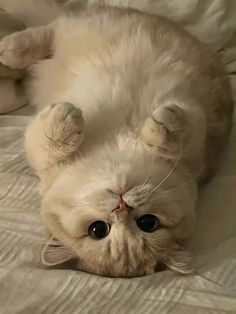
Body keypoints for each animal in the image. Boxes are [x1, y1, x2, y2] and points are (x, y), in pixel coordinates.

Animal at [0, 3, 232, 276]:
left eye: (148, 223)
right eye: (98, 230)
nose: (121, 205)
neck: (119, 145)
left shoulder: (198, 141)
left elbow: (179, 129)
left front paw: (162, 123)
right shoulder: (45, 161)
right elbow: (47, 142)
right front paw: (68, 118)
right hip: (81, 28)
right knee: (46, 34)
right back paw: (9, 50)